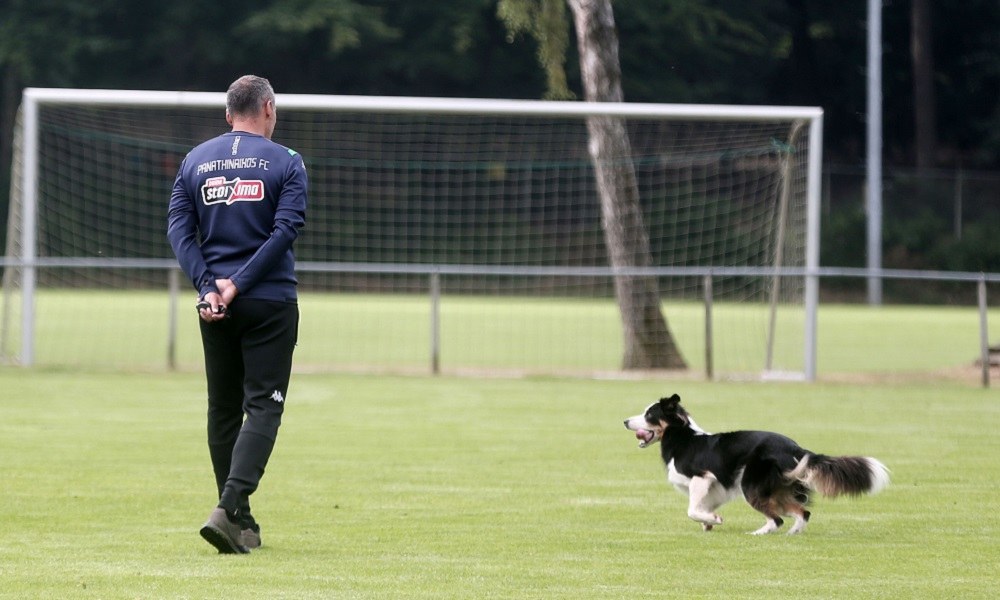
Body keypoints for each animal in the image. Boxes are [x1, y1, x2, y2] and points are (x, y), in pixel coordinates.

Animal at [624, 394, 892, 536]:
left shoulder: (703, 477)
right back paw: (792, 534)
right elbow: (700, 509)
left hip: (751, 484)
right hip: (778, 488)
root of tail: (795, 448)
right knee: (802, 512)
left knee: (778, 518)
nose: (625, 421)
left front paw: (714, 519)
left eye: (649, 414)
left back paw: (759, 533)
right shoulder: (714, 488)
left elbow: (692, 509)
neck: (683, 437)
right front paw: (708, 522)